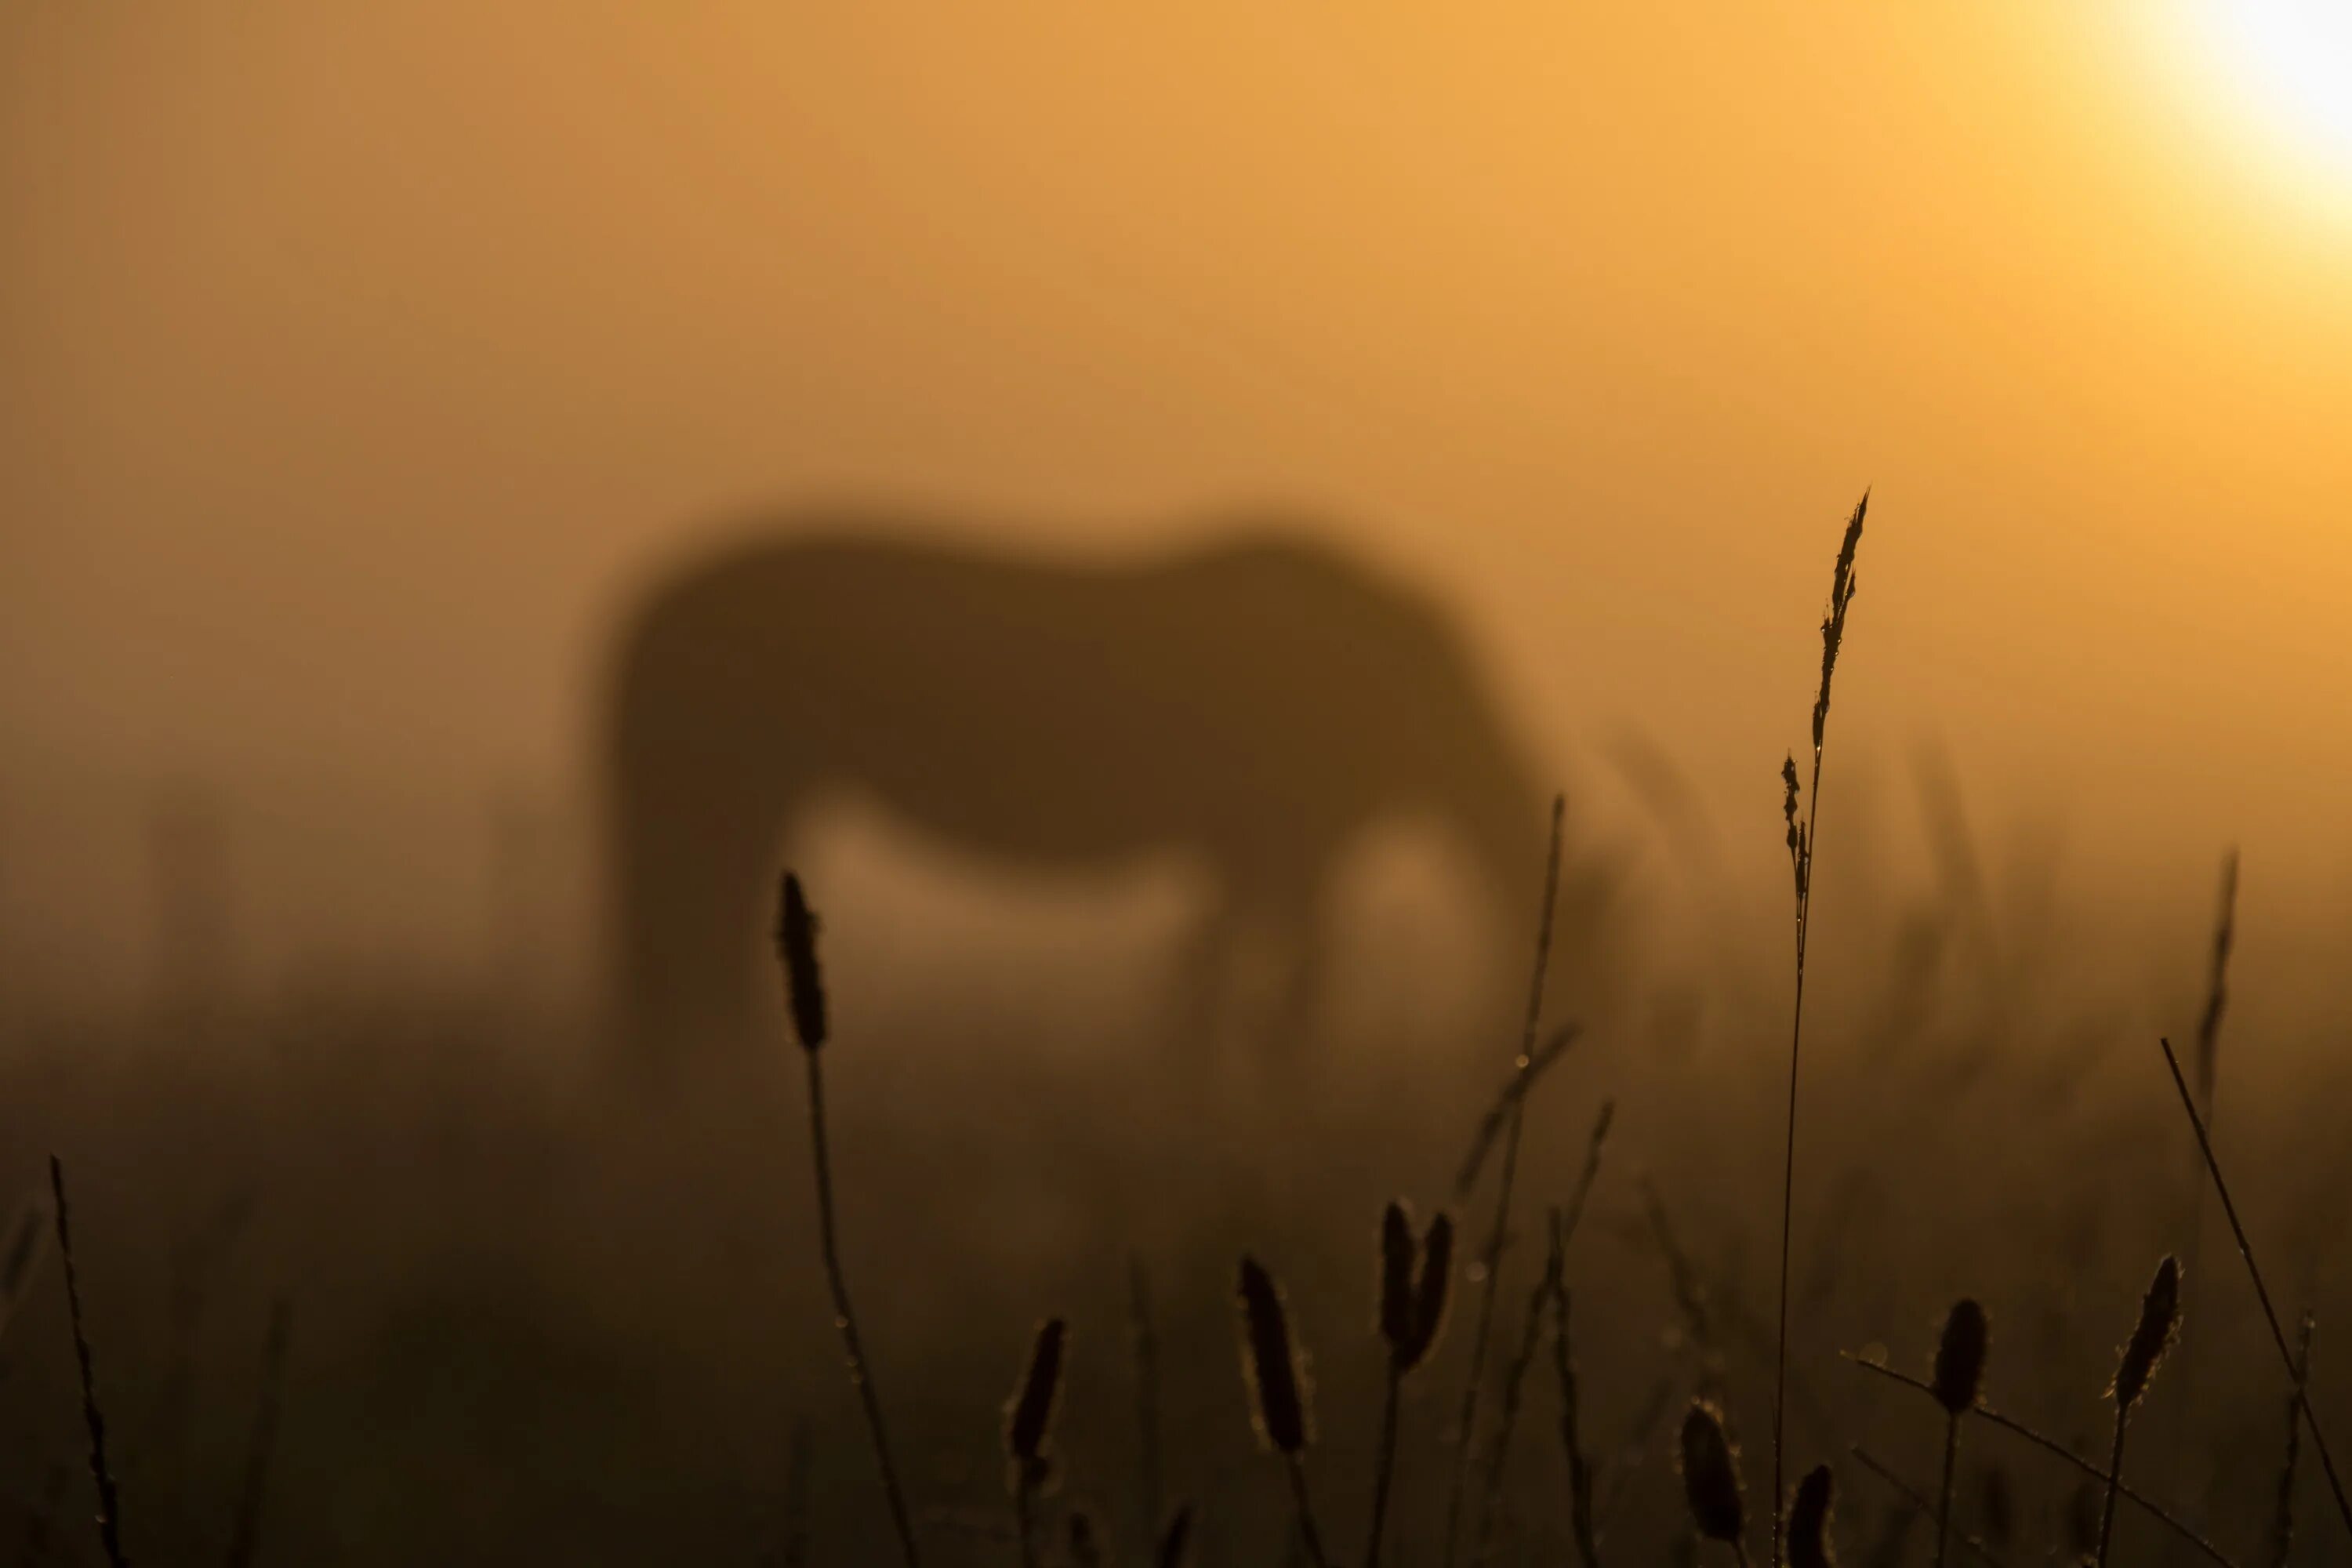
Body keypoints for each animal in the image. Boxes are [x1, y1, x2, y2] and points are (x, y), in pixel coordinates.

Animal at [602, 521, 1562, 1086]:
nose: (1523, 1062)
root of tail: (641, 617)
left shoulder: (1250, 857)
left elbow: (1219, 978)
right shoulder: (1289, 853)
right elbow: (1281, 992)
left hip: (738, 802)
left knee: (691, 957)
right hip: (722, 797)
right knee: (683, 956)